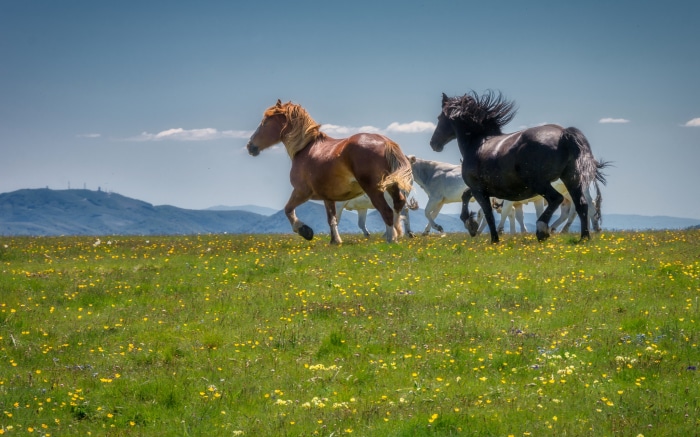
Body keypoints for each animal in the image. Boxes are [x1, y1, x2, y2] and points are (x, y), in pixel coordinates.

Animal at [246, 100, 413, 244]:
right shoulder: (328, 197)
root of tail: (386, 142)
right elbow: (332, 219)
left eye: (265, 122)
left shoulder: (301, 191)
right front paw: (335, 241)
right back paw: (397, 235)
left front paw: (305, 231)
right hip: (392, 186)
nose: (250, 146)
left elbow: (288, 209)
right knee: (398, 205)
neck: (304, 148)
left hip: (374, 189)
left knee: (387, 211)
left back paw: (391, 239)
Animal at [429, 91, 609, 243]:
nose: (433, 143)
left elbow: (488, 213)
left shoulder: (479, 189)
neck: (478, 144)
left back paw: (542, 230)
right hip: (571, 179)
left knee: (556, 199)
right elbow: (466, 196)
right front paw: (471, 225)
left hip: (540, 183)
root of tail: (564, 134)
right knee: (582, 205)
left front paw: (492, 238)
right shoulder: (486, 190)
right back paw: (584, 238)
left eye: (439, 117)